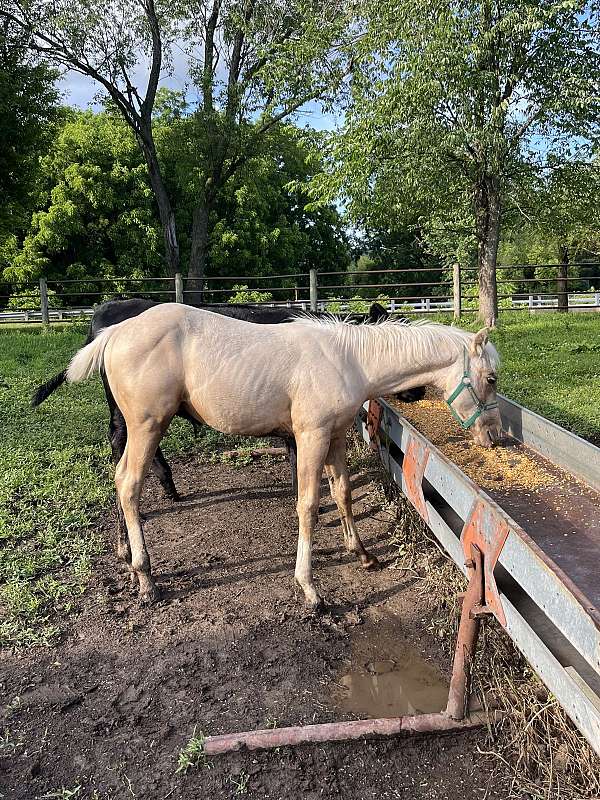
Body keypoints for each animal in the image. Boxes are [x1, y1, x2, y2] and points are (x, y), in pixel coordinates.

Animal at [65, 304, 501, 610]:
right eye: (492, 378)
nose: (495, 436)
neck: (347, 360)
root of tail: (115, 332)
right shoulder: (310, 437)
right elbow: (308, 504)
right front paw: (310, 589)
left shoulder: (336, 436)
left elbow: (342, 491)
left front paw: (361, 553)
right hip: (146, 426)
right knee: (128, 483)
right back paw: (145, 578)